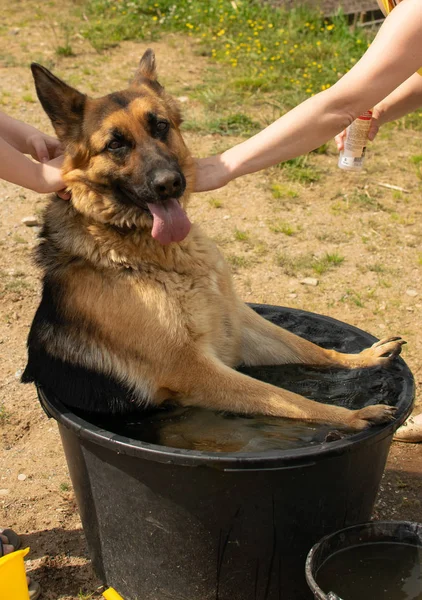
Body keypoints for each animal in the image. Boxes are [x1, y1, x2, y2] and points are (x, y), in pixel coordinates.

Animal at [23, 49, 406, 428]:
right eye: (115, 144)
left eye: (160, 126)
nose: (169, 184)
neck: (160, 256)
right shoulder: (196, 370)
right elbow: (290, 399)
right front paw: (349, 416)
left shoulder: (237, 322)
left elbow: (307, 347)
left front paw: (360, 358)